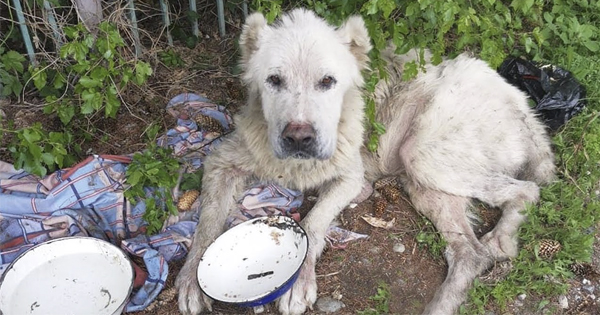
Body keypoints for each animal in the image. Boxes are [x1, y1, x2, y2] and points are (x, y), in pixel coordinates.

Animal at [176, 8, 556, 314]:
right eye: (274, 80)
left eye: (327, 81)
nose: (298, 137)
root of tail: (522, 104)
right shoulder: (221, 162)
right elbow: (207, 222)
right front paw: (192, 278)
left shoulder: (349, 176)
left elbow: (313, 224)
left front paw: (300, 283)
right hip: (425, 184)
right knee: (469, 254)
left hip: (425, 154)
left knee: (527, 190)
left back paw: (501, 239)